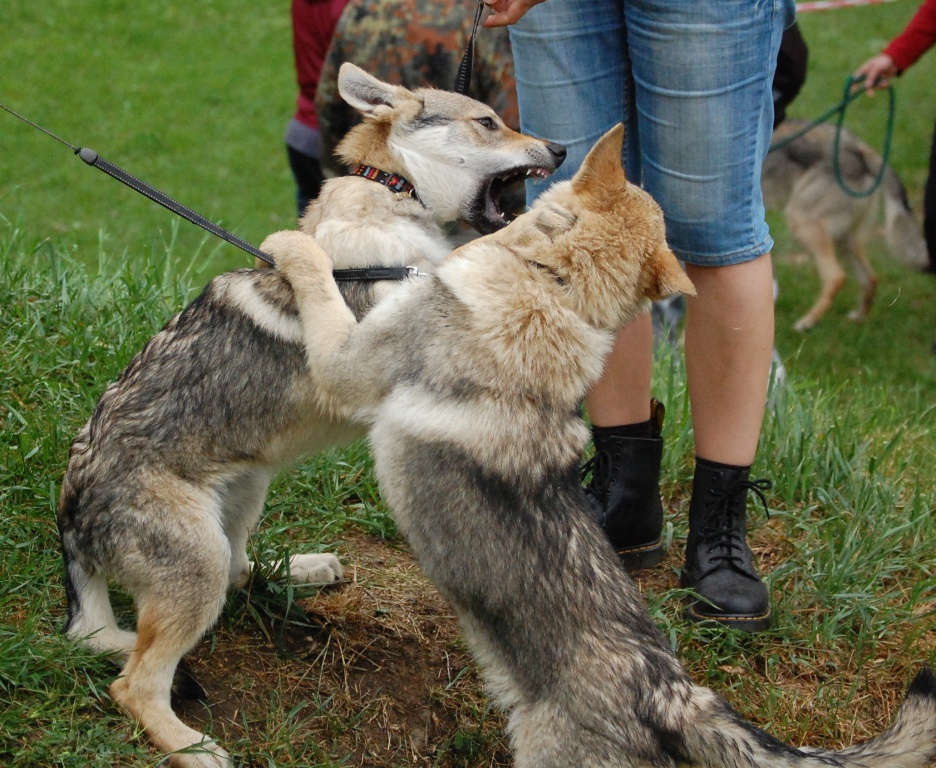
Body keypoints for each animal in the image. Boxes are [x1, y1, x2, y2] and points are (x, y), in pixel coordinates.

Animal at [56, 63, 564, 764]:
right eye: (489, 122)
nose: (562, 149)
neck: (398, 202)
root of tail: (70, 514)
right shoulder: (361, 360)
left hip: (243, 499)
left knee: (242, 574)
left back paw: (308, 568)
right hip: (196, 565)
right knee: (132, 683)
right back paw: (192, 747)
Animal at [764, 118, 924, 330]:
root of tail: (861, 149)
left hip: (803, 224)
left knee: (836, 277)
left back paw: (807, 323)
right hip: (843, 239)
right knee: (870, 278)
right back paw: (859, 319)